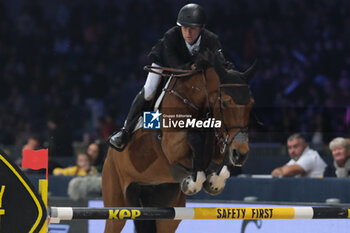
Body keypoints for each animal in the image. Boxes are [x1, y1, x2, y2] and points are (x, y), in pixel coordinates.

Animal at [101, 51, 258, 233]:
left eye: (251, 103)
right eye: (225, 103)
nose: (241, 154)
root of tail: (109, 157)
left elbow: (223, 160)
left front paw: (214, 182)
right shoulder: (173, 147)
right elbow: (194, 140)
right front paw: (193, 182)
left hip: (166, 214)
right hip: (117, 206)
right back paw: (119, 138)